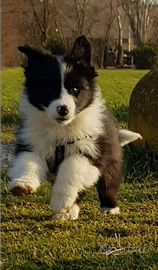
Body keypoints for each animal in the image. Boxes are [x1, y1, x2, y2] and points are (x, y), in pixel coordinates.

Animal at [7, 35, 141, 220]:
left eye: (75, 89)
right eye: (48, 89)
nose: (63, 109)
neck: (61, 129)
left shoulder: (91, 151)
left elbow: (72, 166)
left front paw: (60, 200)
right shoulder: (31, 143)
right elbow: (28, 161)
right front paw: (23, 184)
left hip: (111, 158)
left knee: (107, 183)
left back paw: (108, 207)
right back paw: (68, 213)